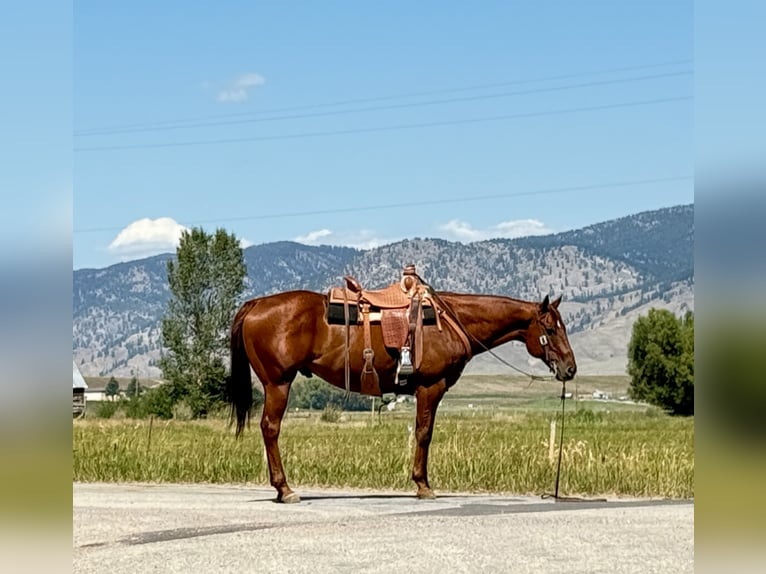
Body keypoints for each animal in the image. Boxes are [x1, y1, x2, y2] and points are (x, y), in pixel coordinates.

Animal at [227, 288, 577, 503]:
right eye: (552, 329)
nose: (570, 368)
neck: (451, 320)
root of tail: (256, 304)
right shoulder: (430, 386)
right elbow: (424, 433)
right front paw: (423, 485)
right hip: (278, 383)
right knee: (270, 428)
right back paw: (285, 489)